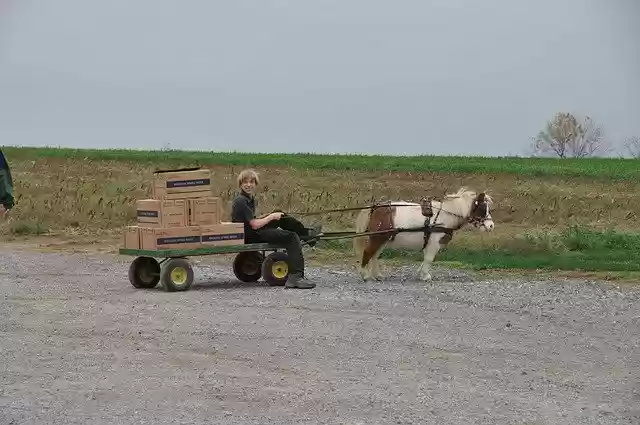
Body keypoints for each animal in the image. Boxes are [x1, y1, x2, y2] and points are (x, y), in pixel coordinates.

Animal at [352, 188, 494, 282]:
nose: (491, 226)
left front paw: (421, 273)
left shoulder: (430, 243)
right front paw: (426, 276)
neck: (445, 216)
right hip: (377, 238)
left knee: (374, 255)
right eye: (483, 209)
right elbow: (429, 258)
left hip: (383, 238)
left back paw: (377, 275)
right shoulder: (434, 243)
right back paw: (365, 275)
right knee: (368, 253)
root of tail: (375, 208)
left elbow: (426, 258)